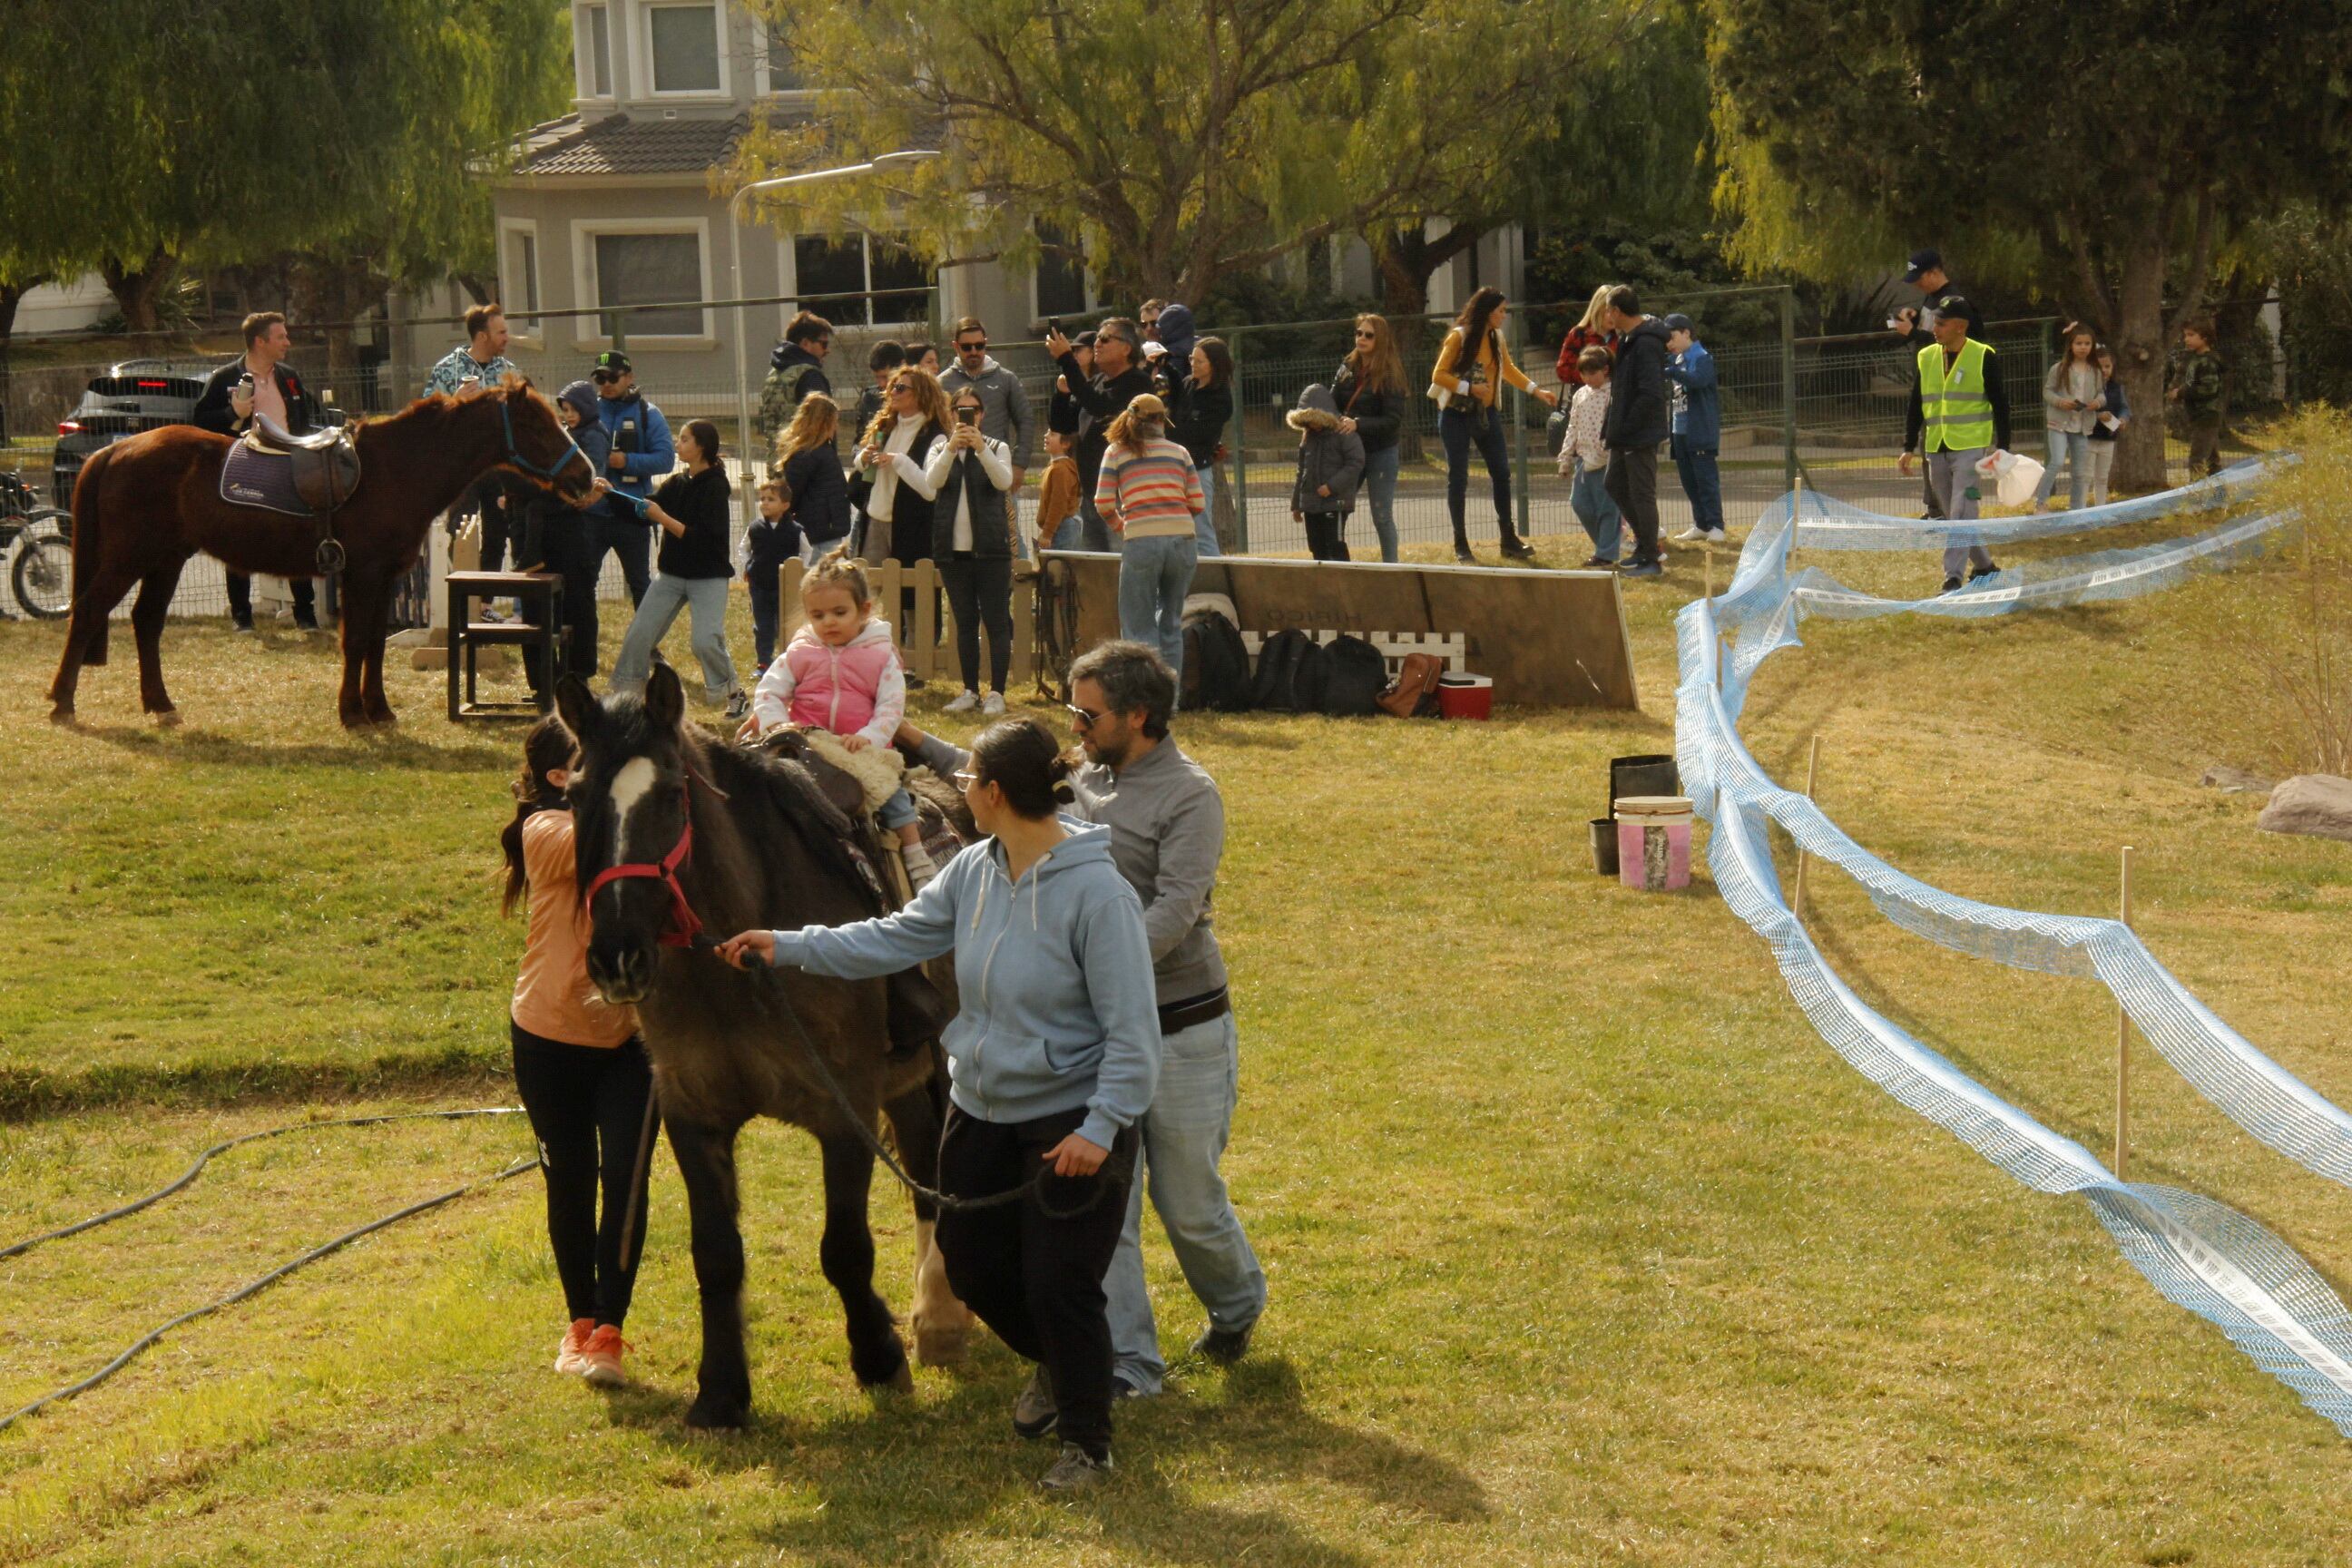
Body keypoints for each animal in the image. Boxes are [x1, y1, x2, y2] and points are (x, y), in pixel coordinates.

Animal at [52, 380, 593, 729]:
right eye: (539, 428)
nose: (585, 475)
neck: (395, 469)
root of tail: (114, 450)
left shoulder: (386, 578)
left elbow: (374, 643)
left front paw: (379, 709)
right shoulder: (362, 575)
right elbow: (355, 643)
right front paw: (352, 713)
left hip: (165, 559)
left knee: (146, 623)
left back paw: (160, 705)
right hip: (129, 559)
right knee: (89, 611)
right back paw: (62, 702)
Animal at [557, 667, 974, 1438]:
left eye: (670, 794)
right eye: (574, 796)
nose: (617, 956)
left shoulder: (845, 1112)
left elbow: (844, 1248)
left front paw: (877, 1357)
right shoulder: (694, 1116)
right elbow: (717, 1255)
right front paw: (721, 1392)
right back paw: (938, 1317)